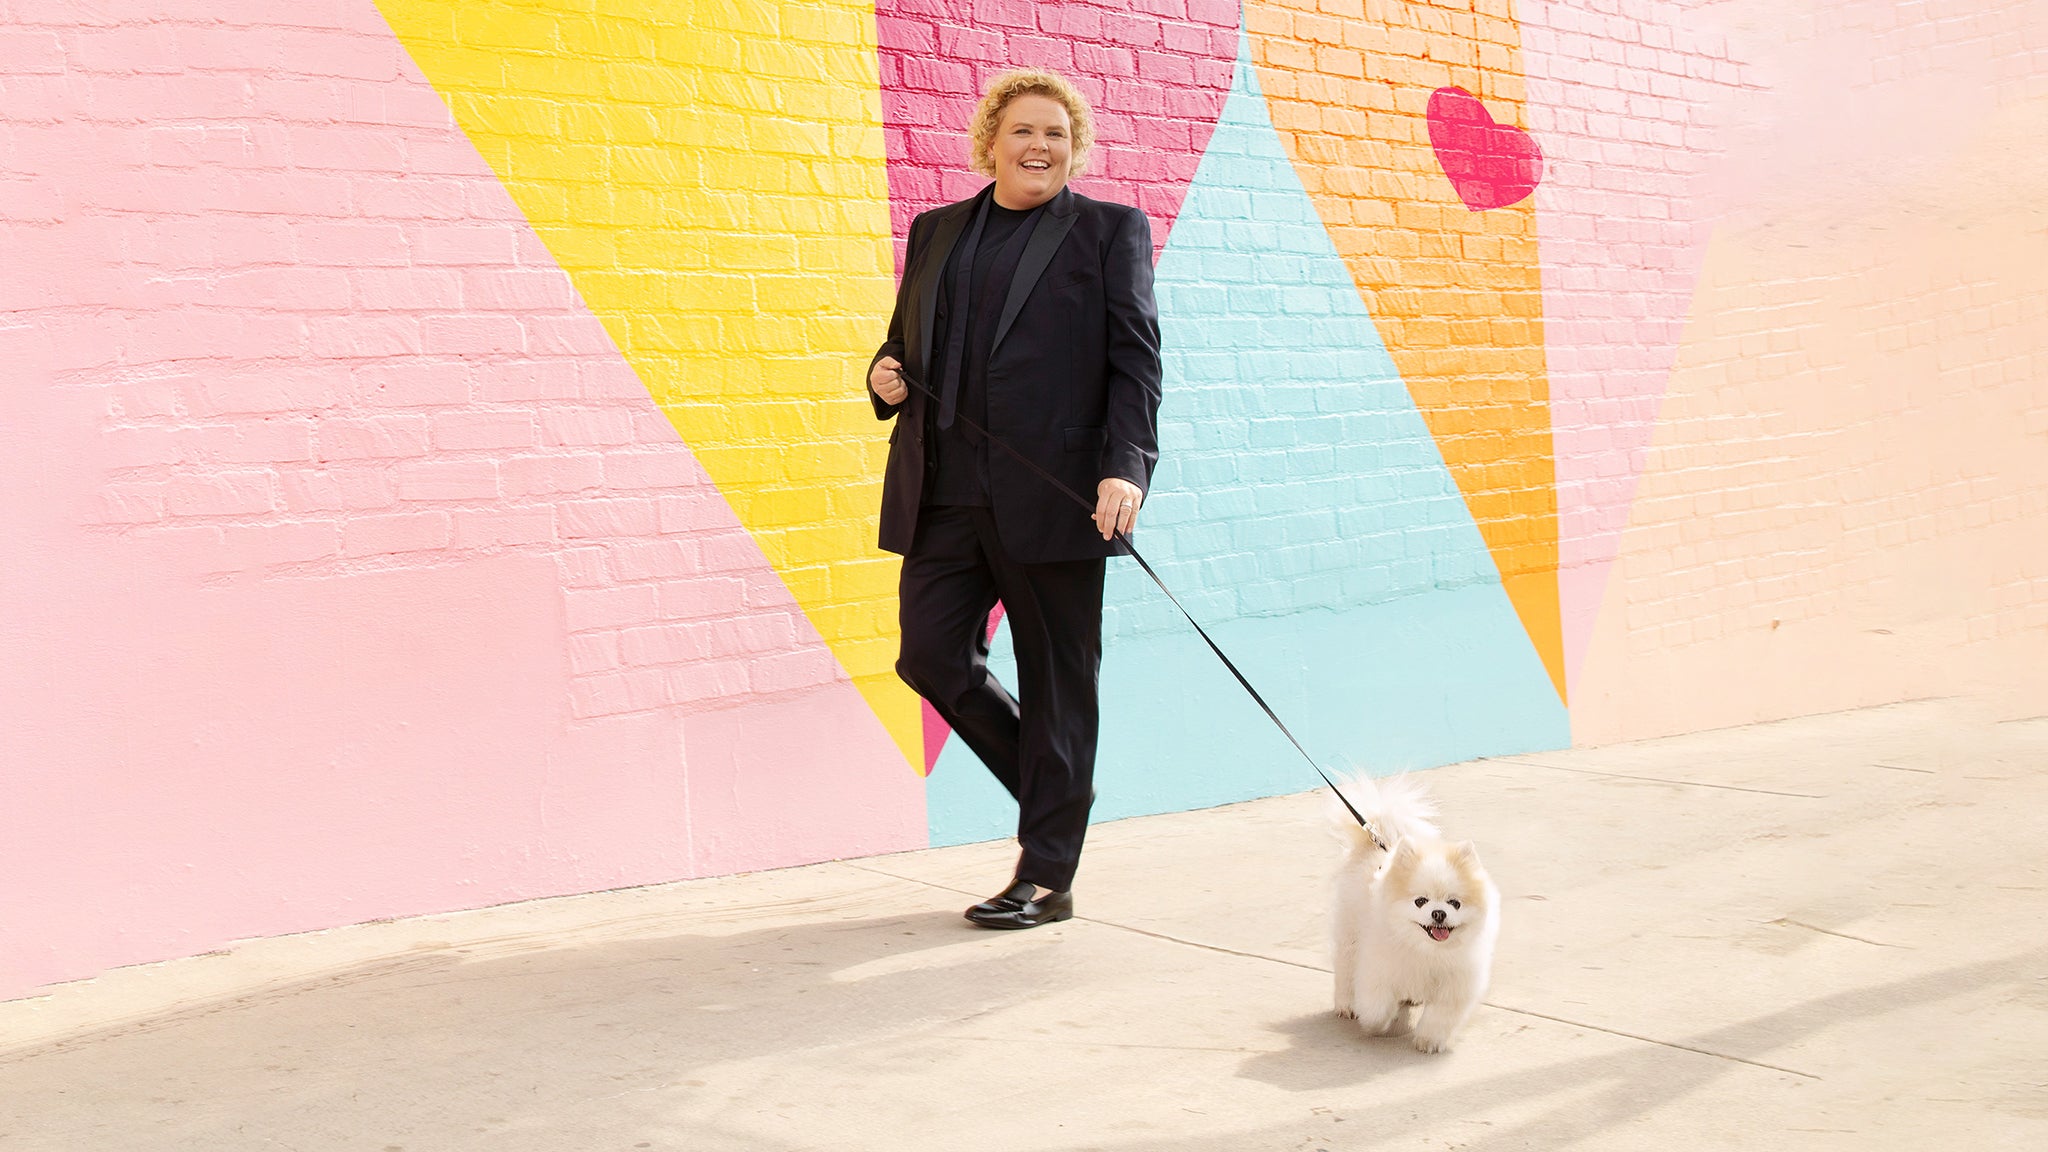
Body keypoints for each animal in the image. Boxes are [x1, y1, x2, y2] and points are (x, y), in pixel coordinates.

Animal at [1335, 770, 1499, 1049]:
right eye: (1420, 901)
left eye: (1454, 903)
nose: (1439, 913)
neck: (1426, 950)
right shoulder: (1378, 968)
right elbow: (1376, 1005)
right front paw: (1375, 1024)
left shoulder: (1455, 984)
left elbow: (1441, 1015)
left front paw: (1429, 1041)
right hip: (1349, 935)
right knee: (1345, 971)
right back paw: (1346, 1005)